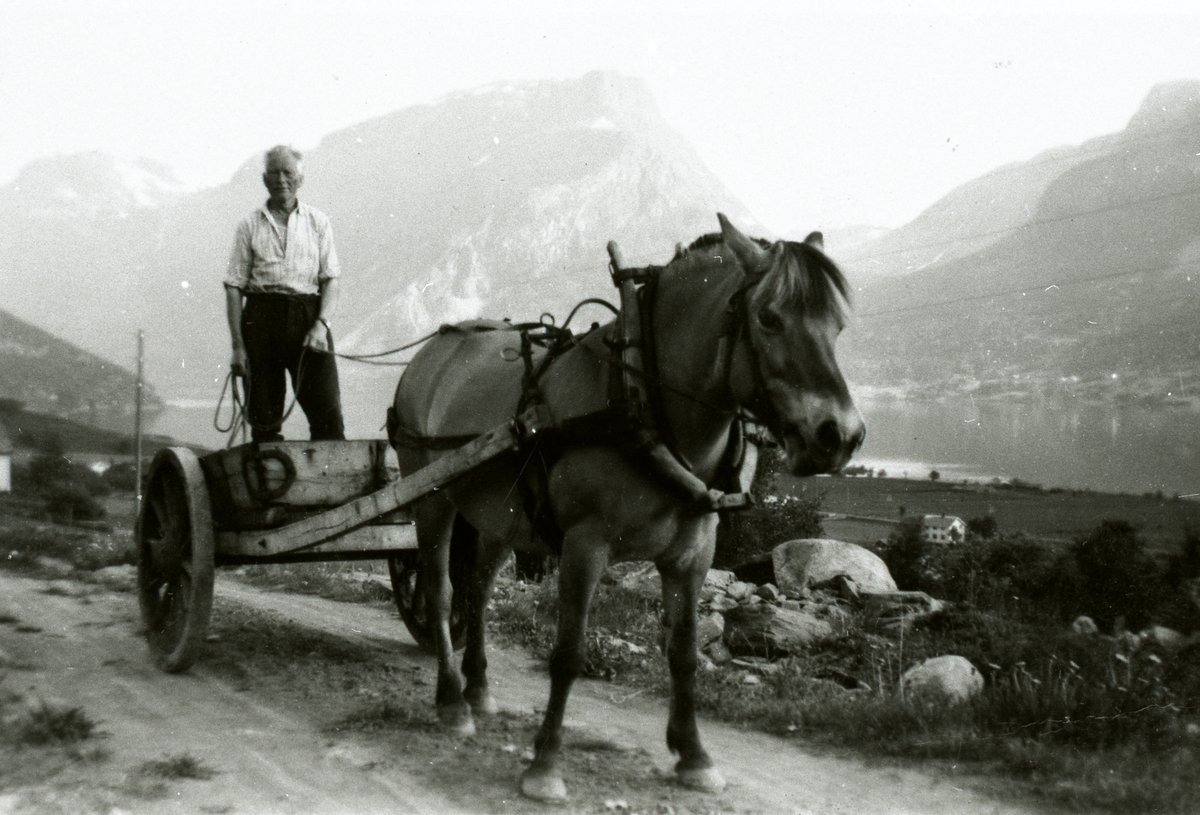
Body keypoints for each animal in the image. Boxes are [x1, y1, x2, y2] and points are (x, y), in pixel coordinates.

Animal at [388, 212, 868, 801]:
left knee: (476, 590)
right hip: (430, 499)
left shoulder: (692, 557)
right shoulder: (584, 547)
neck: (641, 402)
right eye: (769, 318)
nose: (839, 436)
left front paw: (694, 755)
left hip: (501, 519)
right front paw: (545, 765)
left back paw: (477, 688)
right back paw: (453, 701)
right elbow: (569, 653)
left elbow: (683, 654)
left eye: (837, 326)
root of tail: (435, 347)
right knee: (438, 591)